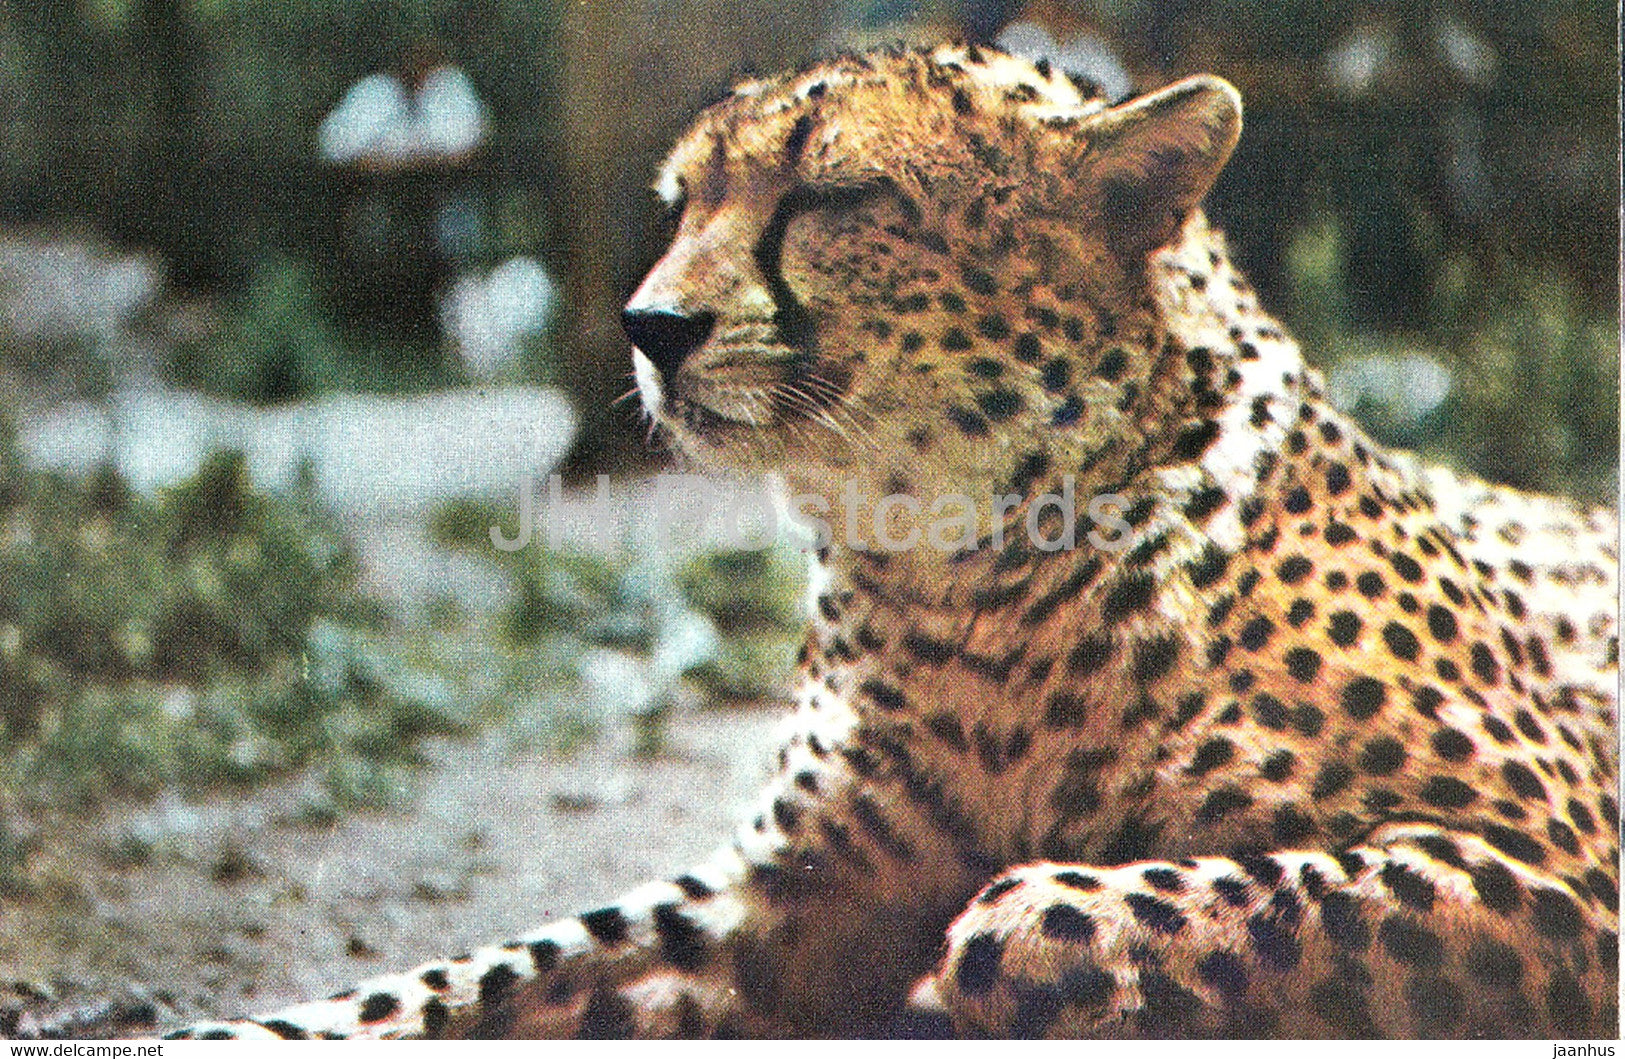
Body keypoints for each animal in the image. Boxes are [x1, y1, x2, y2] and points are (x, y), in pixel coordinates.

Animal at [164, 43, 1618, 1039]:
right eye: (682, 200)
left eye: (831, 195)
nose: (649, 326)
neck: (953, 557)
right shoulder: (780, 895)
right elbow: (489, 967)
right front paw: (226, 1030)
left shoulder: (1551, 857)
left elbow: (1098, 904)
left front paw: (994, 952)